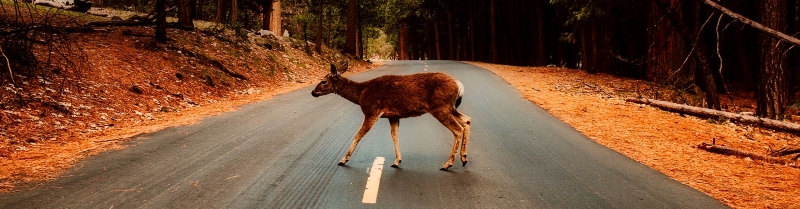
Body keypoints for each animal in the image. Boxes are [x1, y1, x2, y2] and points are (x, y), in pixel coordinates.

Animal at [312, 61, 472, 170]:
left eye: (323, 81)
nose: (313, 92)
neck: (361, 94)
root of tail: (459, 85)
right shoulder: (393, 116)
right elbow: (394, 135)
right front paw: (397, 161)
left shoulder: (372, 111)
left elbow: (358, 134)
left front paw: (343, 160)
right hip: (449, 107)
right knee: (467, 120)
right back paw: (464, 159)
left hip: (440, 107)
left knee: (458, 129)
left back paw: (448, 164)